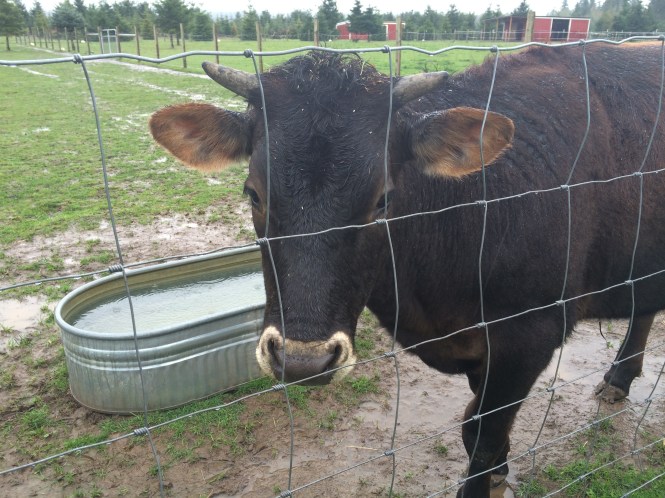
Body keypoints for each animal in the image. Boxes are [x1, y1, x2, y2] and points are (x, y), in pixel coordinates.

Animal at [149, 43, 665, 497]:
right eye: (253, 193)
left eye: (384, 199)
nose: (302, 360)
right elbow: (477, 427)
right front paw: (499, 472)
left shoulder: (532, 332)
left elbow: (481, 431)